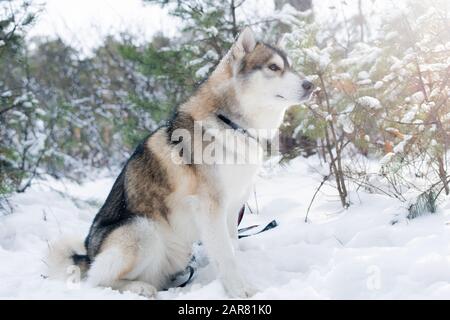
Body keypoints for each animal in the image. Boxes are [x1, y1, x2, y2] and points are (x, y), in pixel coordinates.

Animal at [45, 26, 312, 298]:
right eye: (273, 67)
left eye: (290, 66)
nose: (310, 84)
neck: (229, 123)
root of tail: (87, 255)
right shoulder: (211, 207)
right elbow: (226, 257)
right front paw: (240, 291)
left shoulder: (231, 208)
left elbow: (232, 248)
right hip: (143, 229)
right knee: (97, 280)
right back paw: (139, 287)